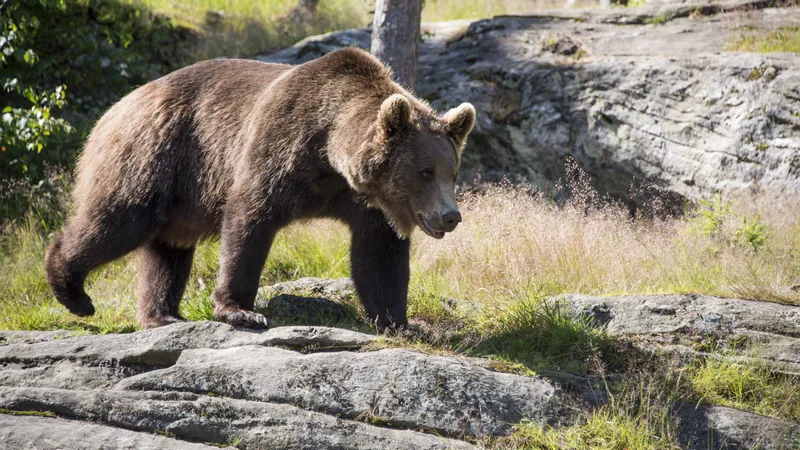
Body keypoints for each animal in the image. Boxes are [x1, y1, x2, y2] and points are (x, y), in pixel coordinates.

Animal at [45, 48, 475, 330]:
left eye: (452, 172)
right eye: (425, 171)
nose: (450, 216)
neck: (329, 154)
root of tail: (117, 106)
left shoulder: (365, 201)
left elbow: (379, 255)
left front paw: (399, 321)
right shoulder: (279, 147)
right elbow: (249, 220)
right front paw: (241, 309)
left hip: (178, 194)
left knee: (168, 249)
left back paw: (162, 314)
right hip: (154, 155)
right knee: (119, 220)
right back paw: (73, 291)